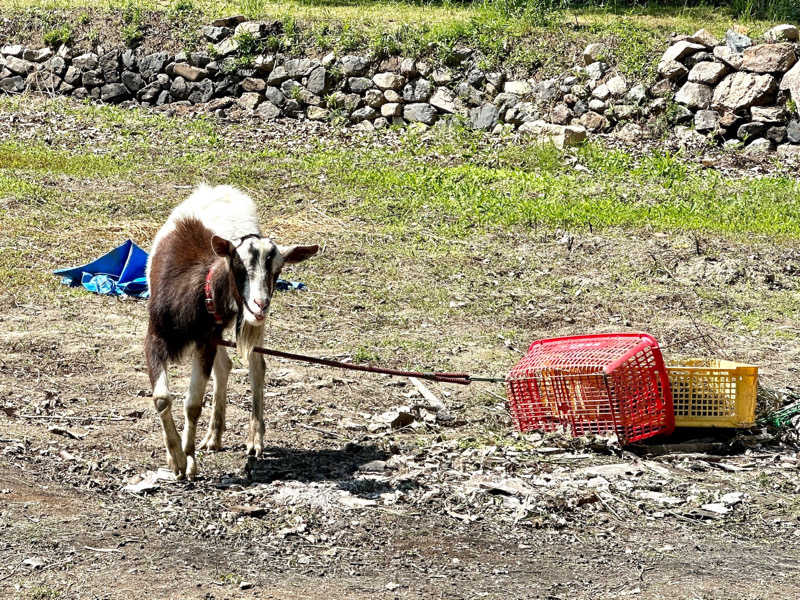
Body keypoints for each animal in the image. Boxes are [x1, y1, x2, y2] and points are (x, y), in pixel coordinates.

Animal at [144, 185, 318, 480]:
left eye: (277, 271)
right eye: (238, 265)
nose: (261, 304)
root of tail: (222, 190)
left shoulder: (205, 341)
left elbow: (193, 404)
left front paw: (188, 460)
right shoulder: (155, 337)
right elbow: (162, 398)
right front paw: (175, 460)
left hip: (247, 326)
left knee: (257, 365)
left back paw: (255, 440)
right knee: (224, 366)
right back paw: (214, 437)